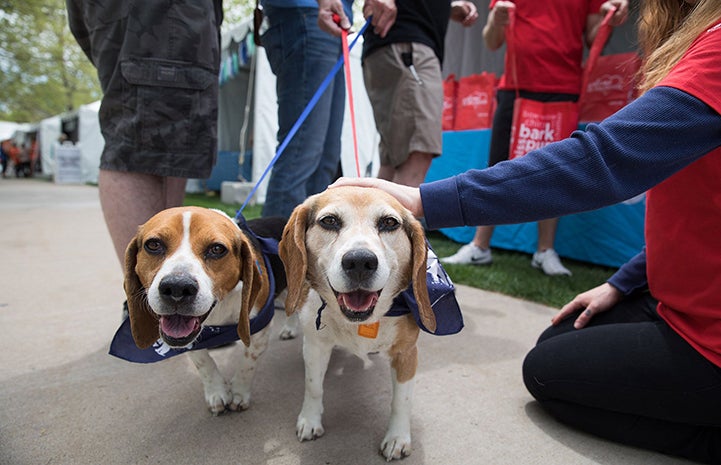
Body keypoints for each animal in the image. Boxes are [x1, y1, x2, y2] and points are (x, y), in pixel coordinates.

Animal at [124, 207, 290, 414]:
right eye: (153, 245)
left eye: (217, 249)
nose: (177, 287)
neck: (218, 310)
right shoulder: (187, 340)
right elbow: (203, 362)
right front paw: (217, 392)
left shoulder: (260, 330)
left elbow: (247, 363)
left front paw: (239, 392)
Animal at [278, 186, 434, 460]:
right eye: (329, 221)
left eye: (389, 223)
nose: (360, 261)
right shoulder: (316, 346)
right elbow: (313, 387)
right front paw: (310, 420)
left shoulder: (406, 353)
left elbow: (401, 401)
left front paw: (397, 438)